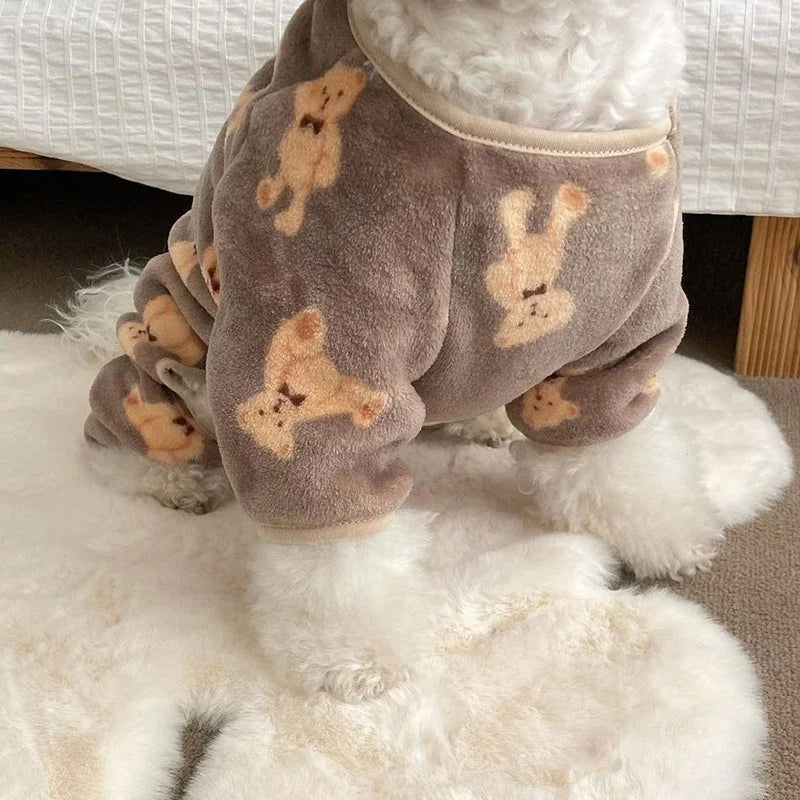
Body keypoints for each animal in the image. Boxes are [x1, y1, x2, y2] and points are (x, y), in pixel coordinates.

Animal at [237, 308, 387, 459]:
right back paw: (369, 409)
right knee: (355, 397)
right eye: (279, 424)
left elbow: (287, 350)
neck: (291, 399)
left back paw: (308, 324)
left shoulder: (281, 364)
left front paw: (307, 327)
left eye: (260, 412)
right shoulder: (319, 405)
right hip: (340, 391)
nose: (278, 407)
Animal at [256, 63, 367, 237]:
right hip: (285, 170)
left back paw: (286, 221)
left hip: (303, 182)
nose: (326, 100)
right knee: (279, 181)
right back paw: (266, 194)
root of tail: (291, 180)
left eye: (341, 93)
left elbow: (329, 160)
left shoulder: (332, 137)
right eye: (325, 89)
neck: (317, 121)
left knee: (298, 199)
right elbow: (302, 96)